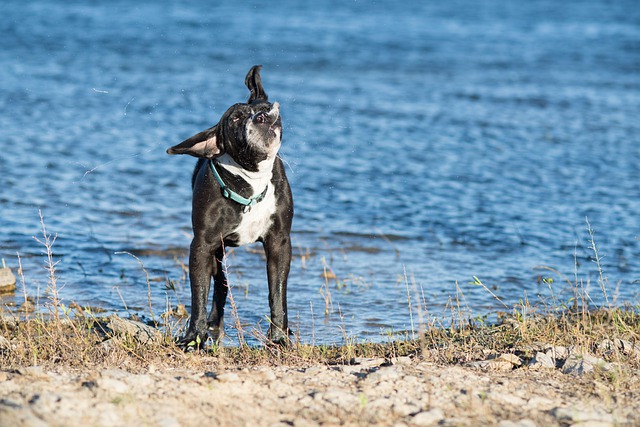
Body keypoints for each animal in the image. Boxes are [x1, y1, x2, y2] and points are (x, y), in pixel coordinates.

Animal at [166, 66, 294, 348]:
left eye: (265, 106)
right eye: (235, 119)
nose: (262, 114)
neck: (252, 181)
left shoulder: (279, 242)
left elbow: (277, 292)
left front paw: (279, 337)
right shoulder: (202, 245)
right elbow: (199, 293)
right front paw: (194, 337)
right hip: (217, 250)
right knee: (220, 283)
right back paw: (213, 323)